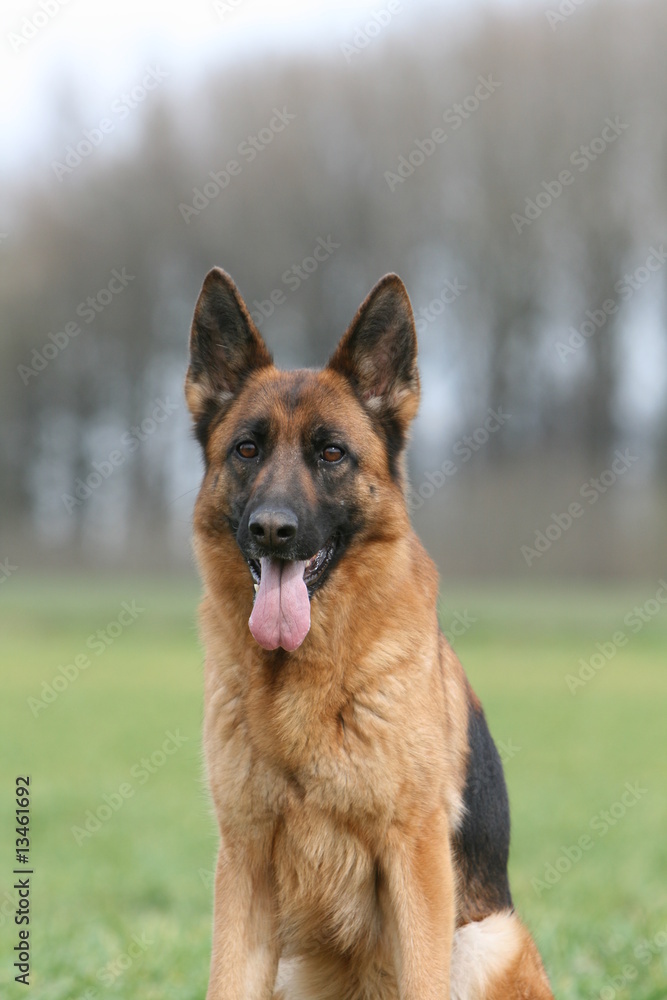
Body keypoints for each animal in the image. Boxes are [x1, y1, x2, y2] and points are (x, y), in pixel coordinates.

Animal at [185, 266, 556, 1000]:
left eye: (331, 453)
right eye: (246, 449)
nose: (272, 529)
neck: (300, 679)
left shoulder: (415, 859)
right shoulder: (243, 867)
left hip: (485, 937)